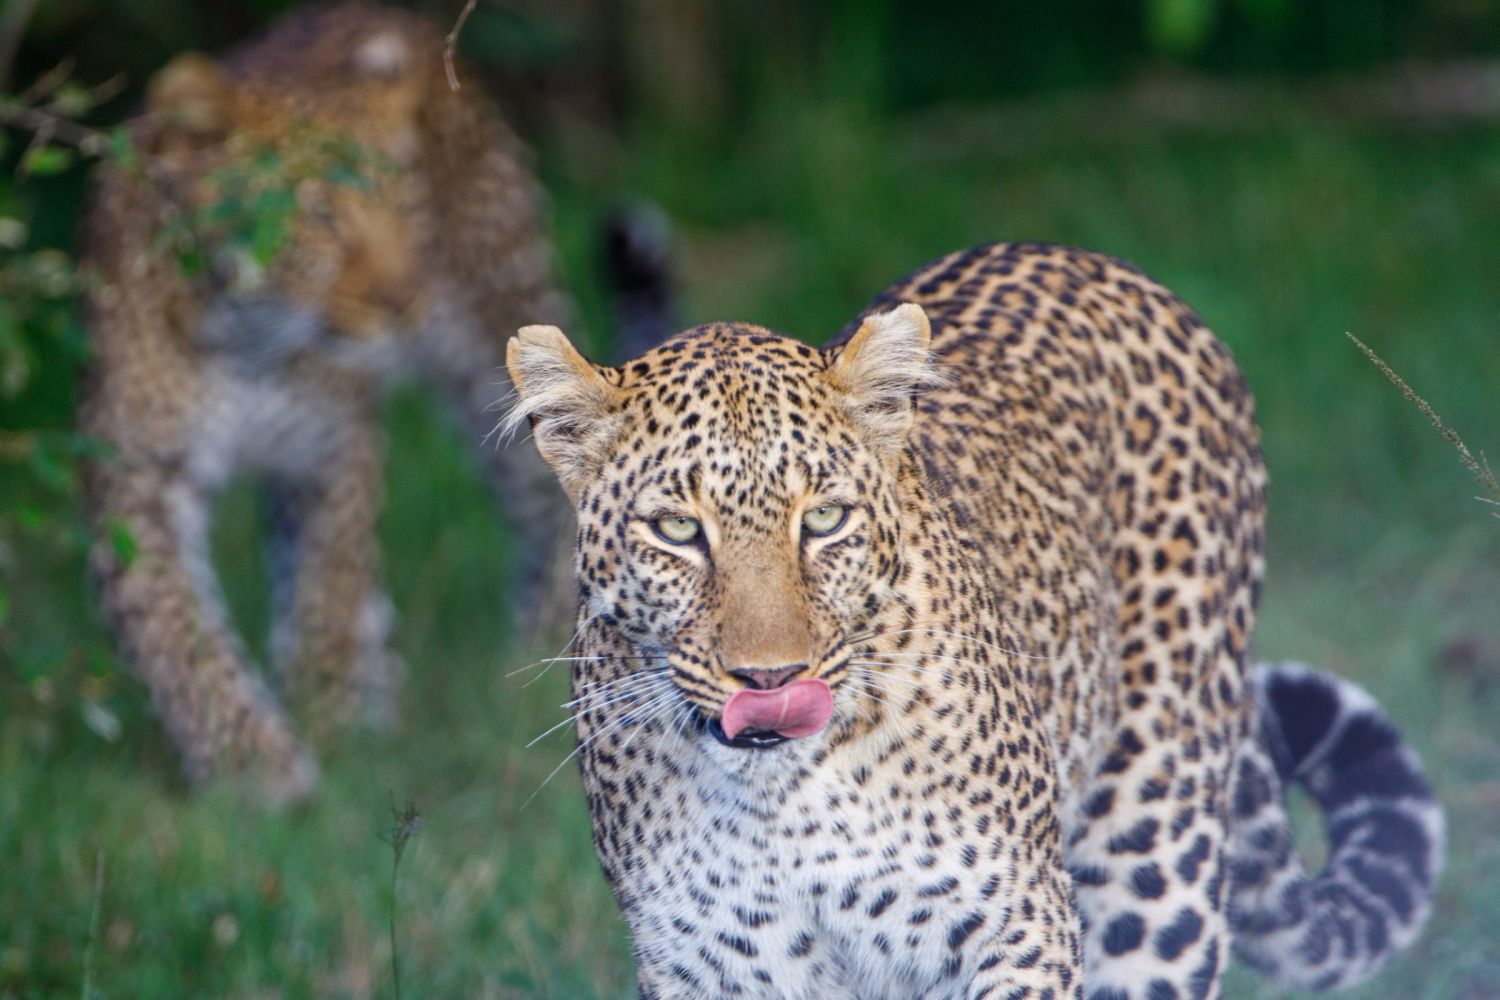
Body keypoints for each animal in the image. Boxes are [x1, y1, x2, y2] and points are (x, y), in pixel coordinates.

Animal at [82, 3, 579, 805]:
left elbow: (325, 592)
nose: (407, 299)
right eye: (317, 214)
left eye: (406, 201)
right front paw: (251, 766)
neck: (247, 343)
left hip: (502, 313)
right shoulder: (135, 472)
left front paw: (329, 730)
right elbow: (173, 626)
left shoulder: (330, 449)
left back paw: (541, 669)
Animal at [503, 242, 1444, 998]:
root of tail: (1091, 260)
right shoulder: (717, 963)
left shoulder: (1014, 925)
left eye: (824, 520)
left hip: (1156, 842)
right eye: (676, 531)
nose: (772, 679)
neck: (783, 797)